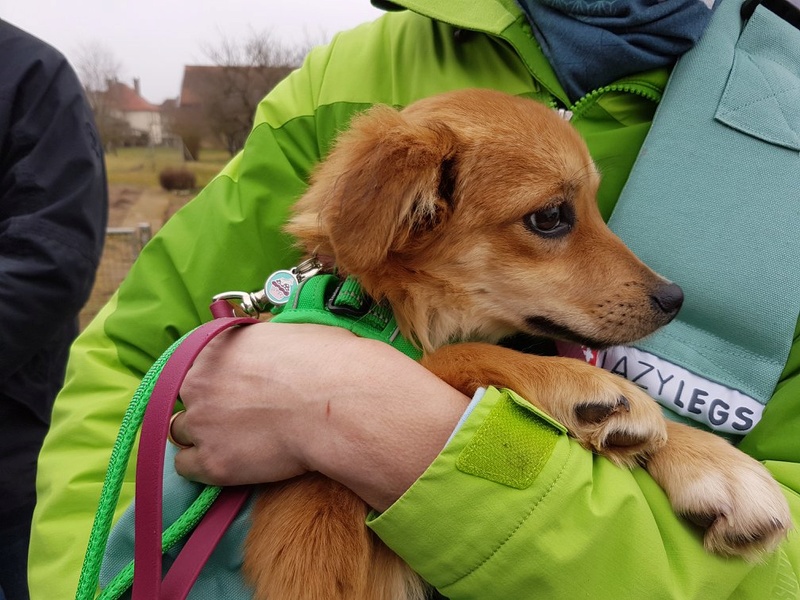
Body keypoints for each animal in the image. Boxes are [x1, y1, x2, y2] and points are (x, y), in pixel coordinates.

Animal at [241, 89, 792, 600]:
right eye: (549, 216)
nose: (675, 299)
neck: (384, 307)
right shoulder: (322, 545)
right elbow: (443, 357)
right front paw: (583, 386)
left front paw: (715, 465)